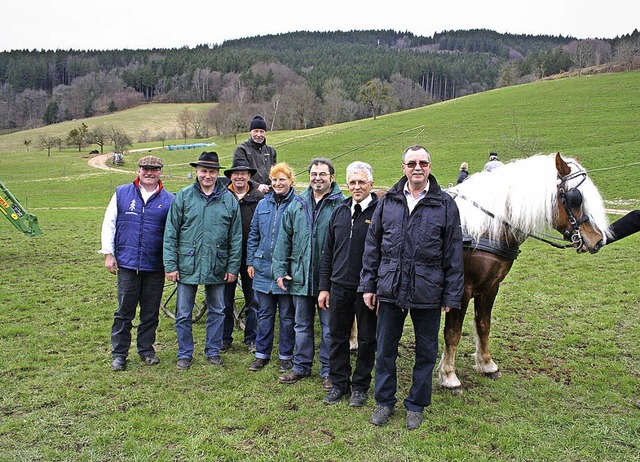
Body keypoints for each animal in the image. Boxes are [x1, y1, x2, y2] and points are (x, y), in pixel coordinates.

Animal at [440, 153, 608, 392]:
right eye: (575, 198)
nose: (597, 240)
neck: (482, 229)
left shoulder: (490, 287)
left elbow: (483, 325)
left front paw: (487, 364)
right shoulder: (461, 290)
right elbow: (453, 333)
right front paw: (449, 376)